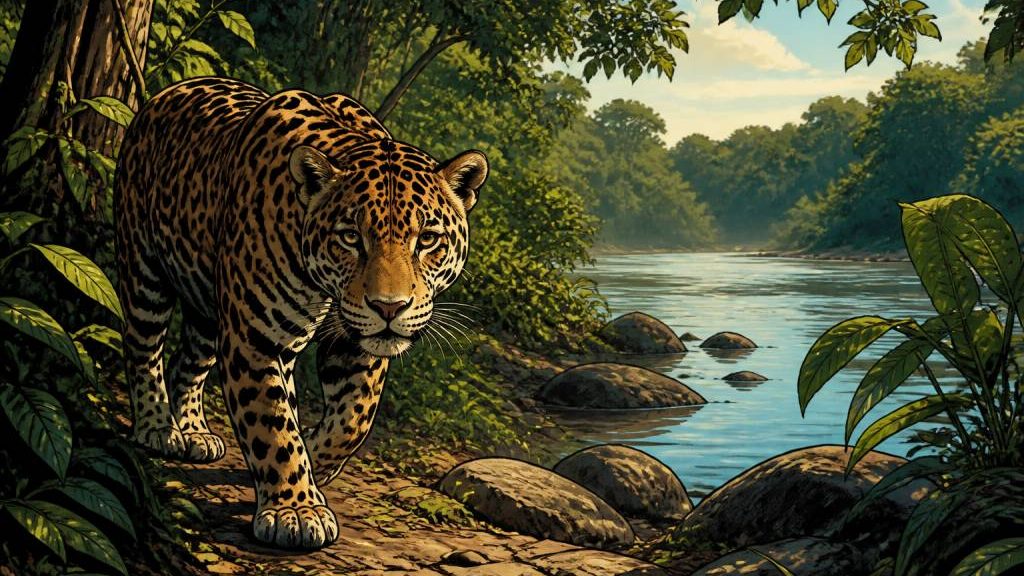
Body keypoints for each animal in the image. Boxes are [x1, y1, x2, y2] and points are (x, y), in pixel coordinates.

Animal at [114, 76, 487, 549]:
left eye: (428, 239)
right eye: (350, 237)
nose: (389, 306)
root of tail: (163, 95)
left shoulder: (354, 346)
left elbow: (354, 419)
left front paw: (317, 460)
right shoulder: (253, 338)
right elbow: (271, 423)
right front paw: (296, 510)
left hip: (207, 306)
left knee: (192, 361)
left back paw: (194, 430)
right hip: (144, 267)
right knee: (143, 347)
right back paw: (157, 427)